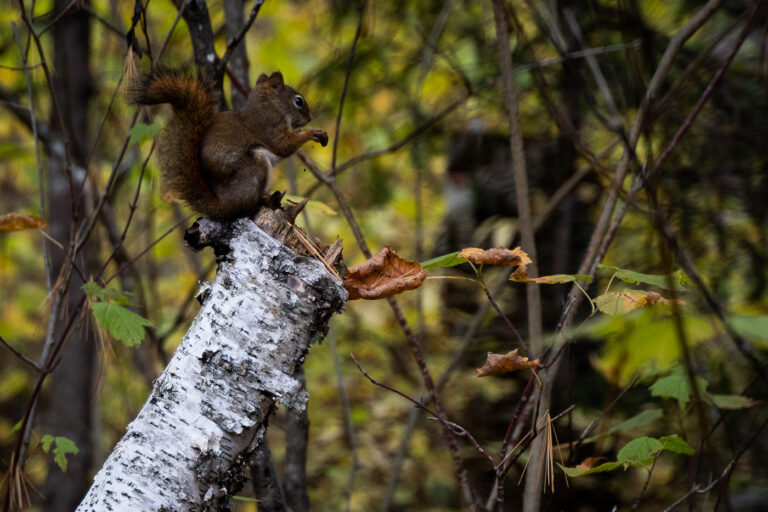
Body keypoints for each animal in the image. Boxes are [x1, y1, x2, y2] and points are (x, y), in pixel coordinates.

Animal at [130, 68, 328, 219]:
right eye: (298, 101)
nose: (310, 117)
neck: (269, 105)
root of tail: (223, 206)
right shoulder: (270, 127)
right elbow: (284, 145)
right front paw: (314, 133)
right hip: (254, 166)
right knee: (247, 205)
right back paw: (266, 199)